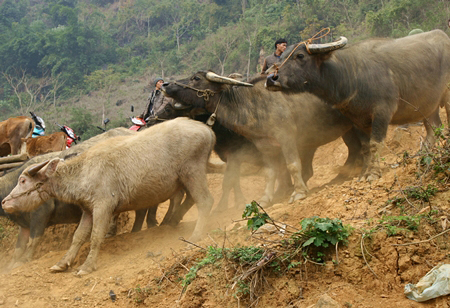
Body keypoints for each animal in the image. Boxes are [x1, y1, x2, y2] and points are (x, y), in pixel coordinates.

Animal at [161, 71, 362, 205]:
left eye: (196, 78)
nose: (165, 85)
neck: (254, 104)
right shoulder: (265, 145)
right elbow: (270, 172)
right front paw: (266, 198)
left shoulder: (286, 137)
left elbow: (292, 165)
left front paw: (298, 193)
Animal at [266, 29, 450, 180]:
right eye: (281, 56)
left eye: (300, 56)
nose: (270, 78)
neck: (352, 75)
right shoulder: (358, 120)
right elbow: (366, 147)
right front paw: (363, 174)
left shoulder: (382, 112)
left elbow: (375, 144)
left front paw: (373, 174)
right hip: (428, 105)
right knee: (434, 128)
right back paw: (424, 155)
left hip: (447, 95)